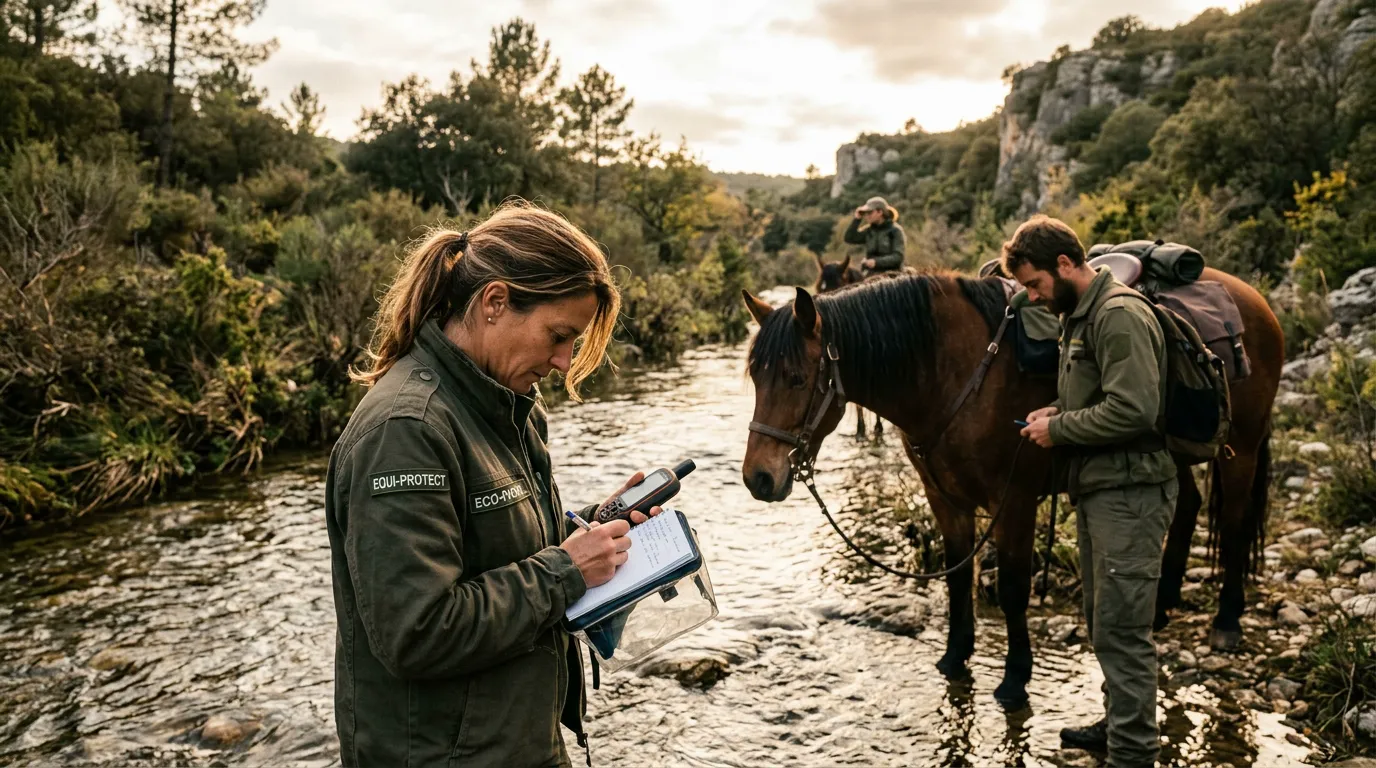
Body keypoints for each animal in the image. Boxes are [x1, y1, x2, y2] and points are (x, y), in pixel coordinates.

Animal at [739, 268, 1281, 708]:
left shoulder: (1014, 503)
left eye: (796, 378)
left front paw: (1015, 679)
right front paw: (954, 657)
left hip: (1243, 448)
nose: (757, 478)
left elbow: (1012, 590)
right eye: (755, 377)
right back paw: (1164, 604)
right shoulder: (946, 501)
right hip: (1174, 453)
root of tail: (1254, 300)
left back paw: (1227, 621)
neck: (955, 373)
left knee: (1234, 523)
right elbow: (959, 578)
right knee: (1187, 505)